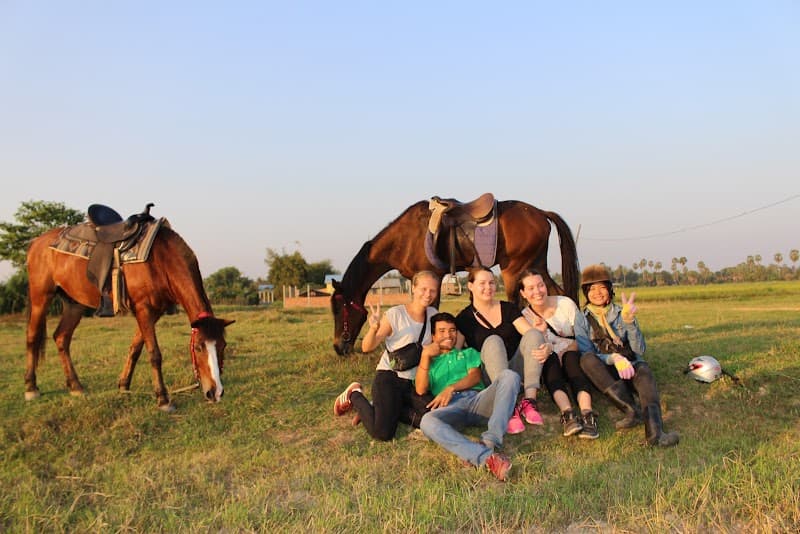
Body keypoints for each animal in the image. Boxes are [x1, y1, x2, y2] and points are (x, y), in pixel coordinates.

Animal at [24, 223, 234, 411]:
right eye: (198, 348)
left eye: (223, 346)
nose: (215, 392)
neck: (160, 261)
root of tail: (37, 243)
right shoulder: (144, 309)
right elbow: (154, 354)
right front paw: (163, 399)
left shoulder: (153, 312)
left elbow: (135, 348)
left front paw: (124, 385)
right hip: (41, 297)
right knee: (33, 337)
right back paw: (31, 388)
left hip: (74, 303)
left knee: (61, 337)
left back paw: (75, 386)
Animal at [331, 198, 579, 355]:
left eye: (339, 310)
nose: (338, 347)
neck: (404, 239)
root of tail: (541, 213)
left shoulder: (432, 276)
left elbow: (432, 310)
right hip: (536, 266)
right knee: (557, 295)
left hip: (514, 270)